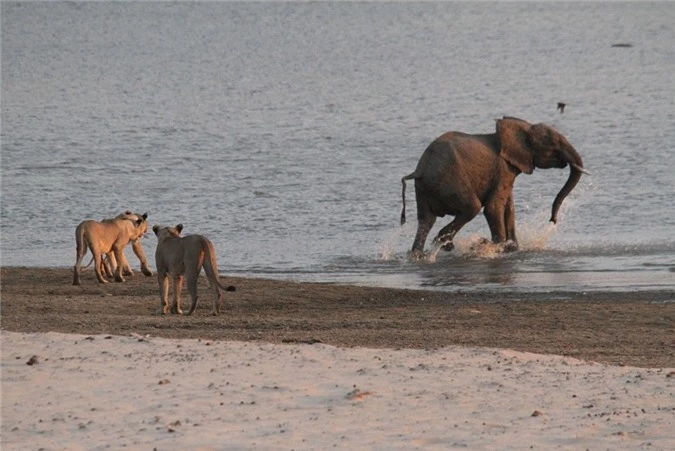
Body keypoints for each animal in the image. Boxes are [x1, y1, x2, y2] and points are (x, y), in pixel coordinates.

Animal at [402, 116, 588, 258]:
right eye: (552, 143)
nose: (552, 220)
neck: (523, 127)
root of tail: (419, 169)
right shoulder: (503, 168)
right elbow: (493, 207)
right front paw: (497, 247)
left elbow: (509, 208)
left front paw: (513, 248)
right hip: (449, 182)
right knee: (471, 207)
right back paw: (445, 244)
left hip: (423, 189)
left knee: (426, 220)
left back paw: (419, 255)